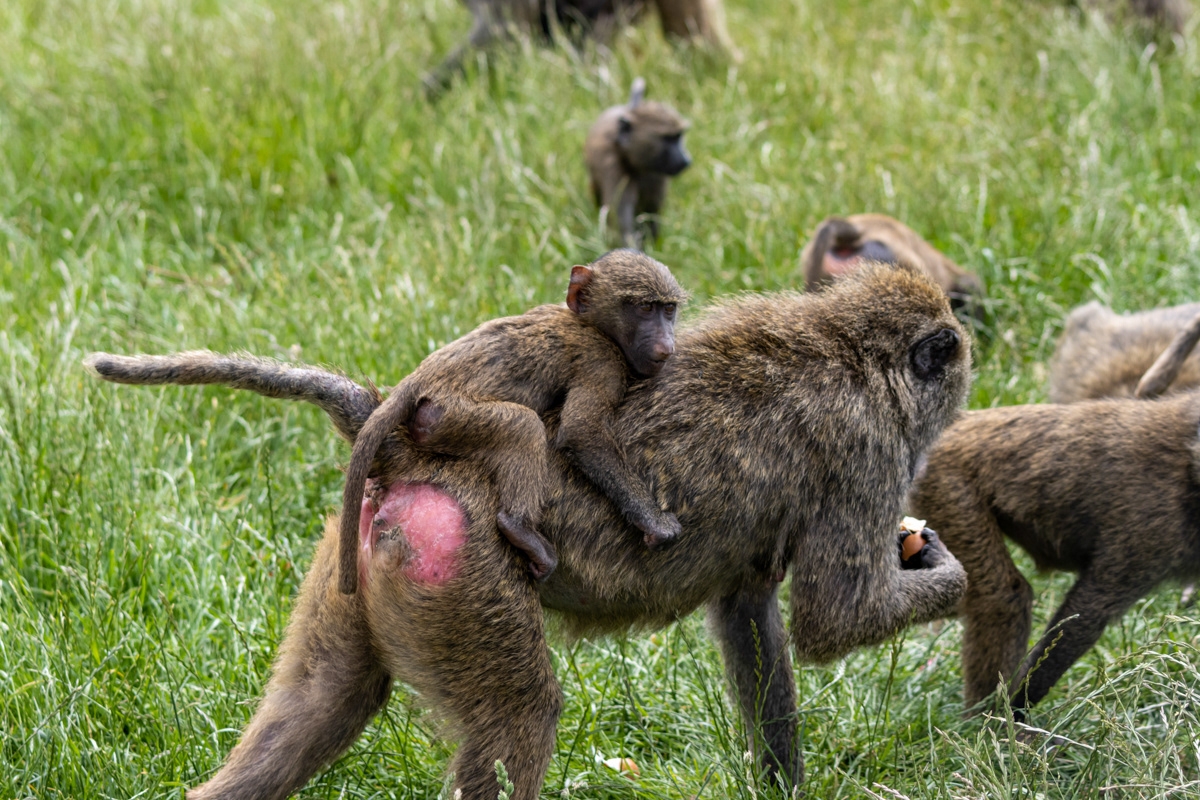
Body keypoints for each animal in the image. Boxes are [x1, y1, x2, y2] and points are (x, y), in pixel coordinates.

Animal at [336, 249, 687, 591]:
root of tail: (420, 378)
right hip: (447, 417)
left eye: (668, 309)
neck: (593, 324)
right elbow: (581, 433)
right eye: (645, 308)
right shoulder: (601, 362)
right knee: (524, 426)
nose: (667, 346)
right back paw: (519, 529)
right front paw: (655, 522)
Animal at [584, 77, 691, 250]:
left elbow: (651, 213)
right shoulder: (614, 169)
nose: (687, 160)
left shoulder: (656, 175)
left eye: (679, 136)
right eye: (668, 138)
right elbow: (621, 219)